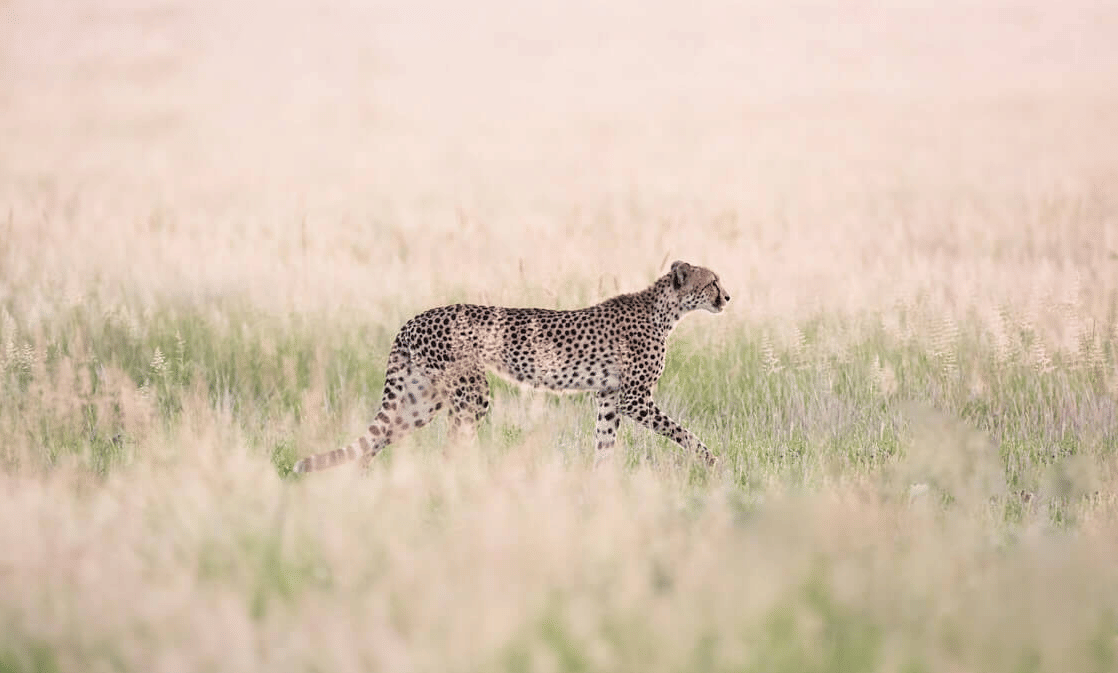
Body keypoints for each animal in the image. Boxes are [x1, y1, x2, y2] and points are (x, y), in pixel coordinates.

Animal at [292, 260, 730, 473]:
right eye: (712, 281)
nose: (727, 297)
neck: (666, 310)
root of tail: (417, 317)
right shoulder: (634, 398)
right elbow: (685, 434)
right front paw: (713, 464)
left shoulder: (608, 399)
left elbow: (604, 445)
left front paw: (600, 487)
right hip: (471, 393)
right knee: (452, 445)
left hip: (422, 399)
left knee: (378, 440)